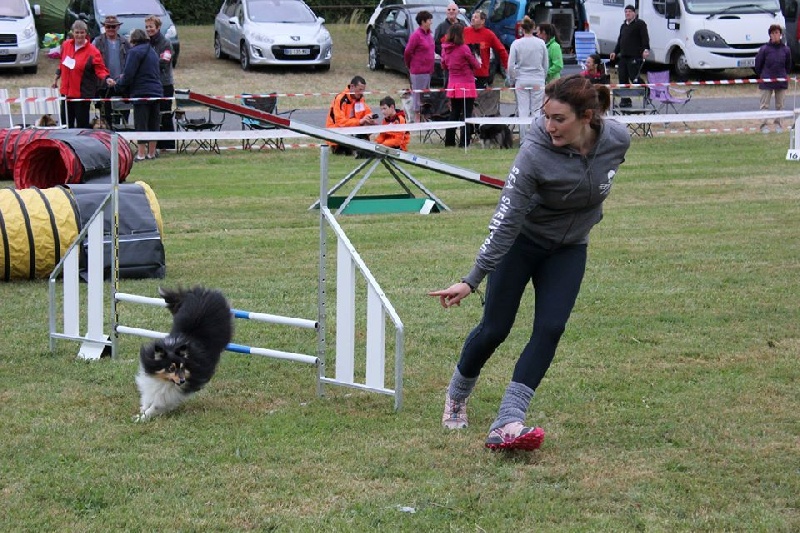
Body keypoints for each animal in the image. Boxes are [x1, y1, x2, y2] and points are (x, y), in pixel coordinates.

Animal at [133, 286, 233, 420]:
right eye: (171, 368)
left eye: (182, 367)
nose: (182, 381)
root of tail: (206, 291)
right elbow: (148, 396)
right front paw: (142, 410)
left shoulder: (175, 392)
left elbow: (158, 404)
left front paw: (143, 417)